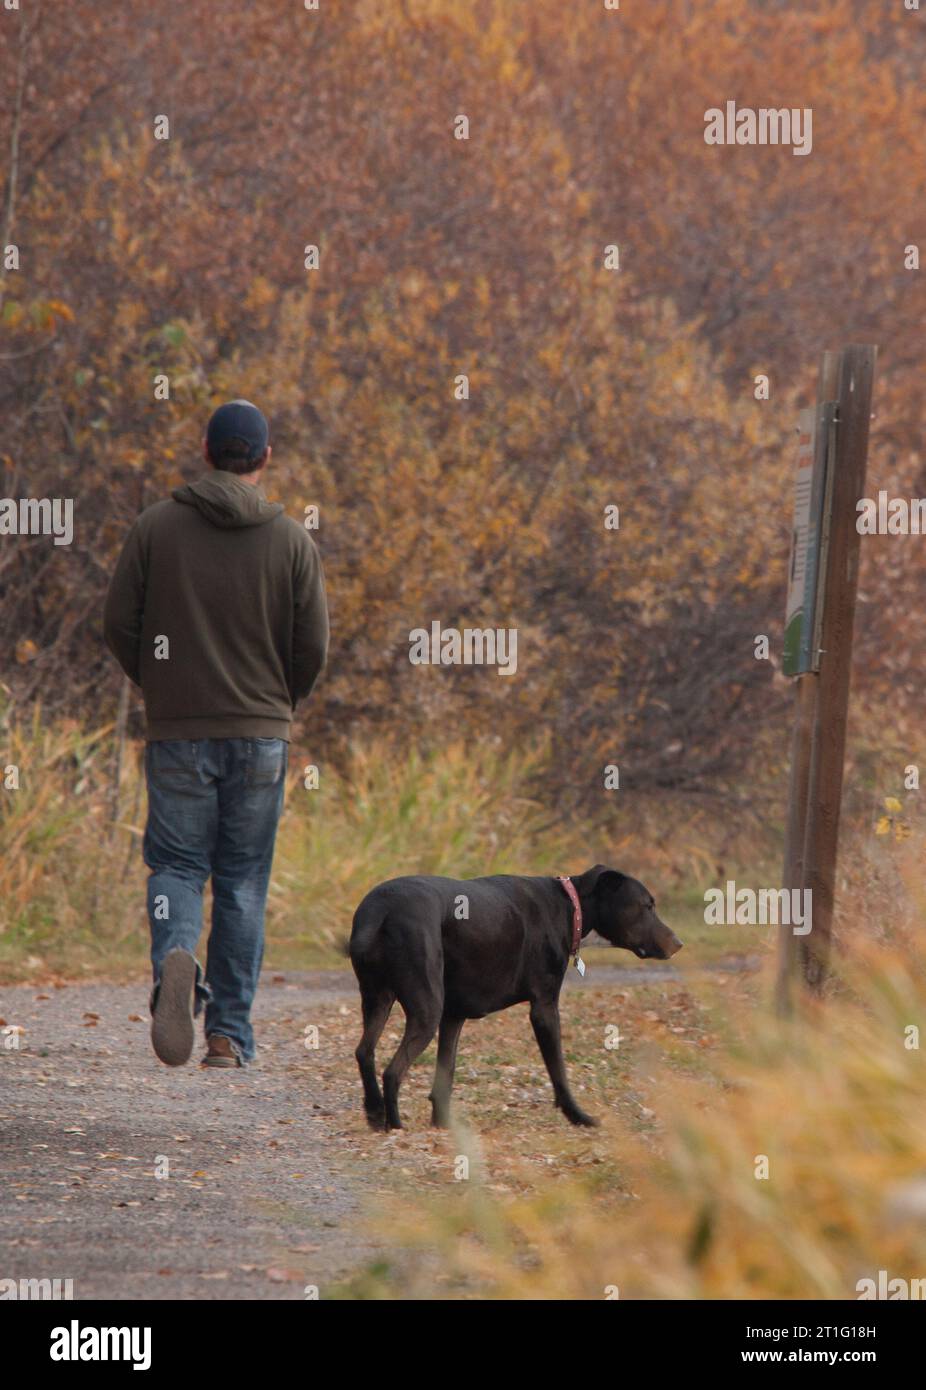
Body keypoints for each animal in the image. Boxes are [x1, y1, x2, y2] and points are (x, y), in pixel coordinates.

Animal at [346, 867, 678, 1128]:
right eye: (647, 906)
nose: (679, 943)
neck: (570, 905)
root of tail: (379, 910)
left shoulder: (453, 1016)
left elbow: (445, 1075)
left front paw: (443, 1124)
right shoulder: (544, 1008)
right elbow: (559, 1071)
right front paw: (578, 1116)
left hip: (378, 1000)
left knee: (364, 1052)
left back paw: (374, 1113)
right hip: (425, 1009)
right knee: (392, 1071)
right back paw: (394, 1125)